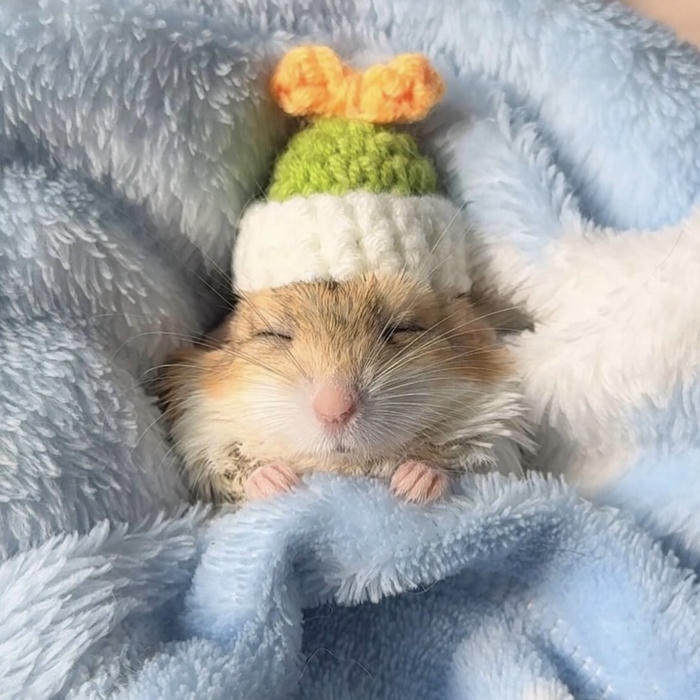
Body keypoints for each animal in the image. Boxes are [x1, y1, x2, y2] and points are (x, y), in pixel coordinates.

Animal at [156, 273, 528, 505]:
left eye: (403, 328)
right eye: (274, 334)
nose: (335, 410)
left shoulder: (501, 430)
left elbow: (469, 457)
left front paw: (412, 484)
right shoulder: (198, 435)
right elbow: (231, 467)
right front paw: (279, 483)